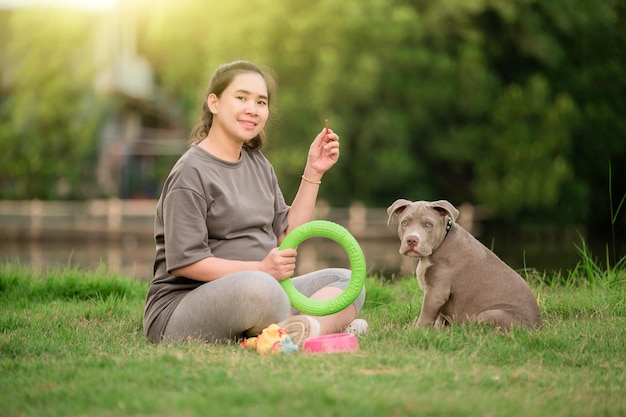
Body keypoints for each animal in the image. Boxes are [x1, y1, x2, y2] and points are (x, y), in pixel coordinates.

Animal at [388, 198, 540, 328]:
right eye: (405, 223)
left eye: (429, 225)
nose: (411, 240)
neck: (442, 241)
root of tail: (537, 328)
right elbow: (439, 319)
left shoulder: (437, 291)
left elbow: (426, 315)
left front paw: (417, 331)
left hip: (491, 314)